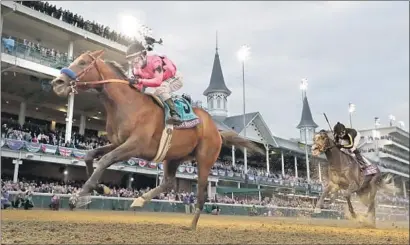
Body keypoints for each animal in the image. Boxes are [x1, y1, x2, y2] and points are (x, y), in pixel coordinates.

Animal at [51, 49, 264, 230]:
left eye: (83, 62)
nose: (57, 82)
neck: (127, 104)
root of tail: (216, 130)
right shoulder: (119, 143)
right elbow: (90, 155)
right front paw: (101, 188)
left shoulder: (134, 145)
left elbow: (104, 160)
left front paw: (78, 196)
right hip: (174, 156)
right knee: (168, 182)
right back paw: (139, 200)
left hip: (205, 159)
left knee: (202, 193)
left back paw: (192, 225)